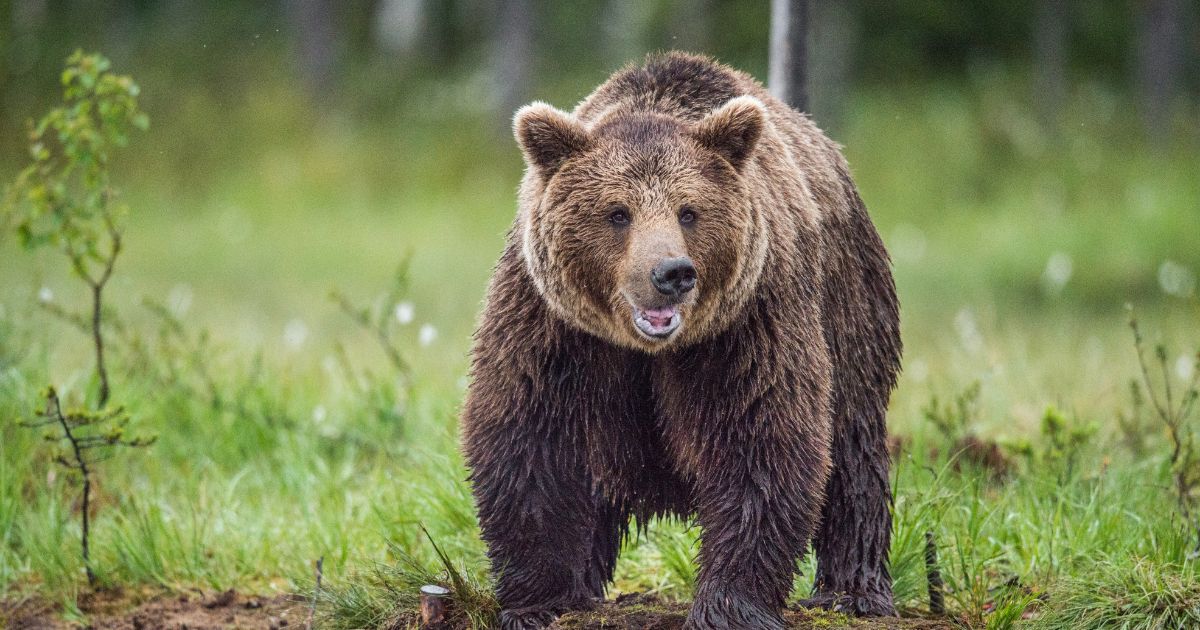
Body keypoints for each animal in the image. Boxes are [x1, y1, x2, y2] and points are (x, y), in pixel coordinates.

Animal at [461, 52, 901, 630]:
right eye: (617, 212)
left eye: (689, 211)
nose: (672, 272)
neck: (648, 350)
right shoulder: (555, 328)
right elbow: (533, 438)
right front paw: (540, 599)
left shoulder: (746, 326)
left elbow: (759, 440)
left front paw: (729, 604)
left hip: (849, 303)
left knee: (852, 446)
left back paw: (853, 591)